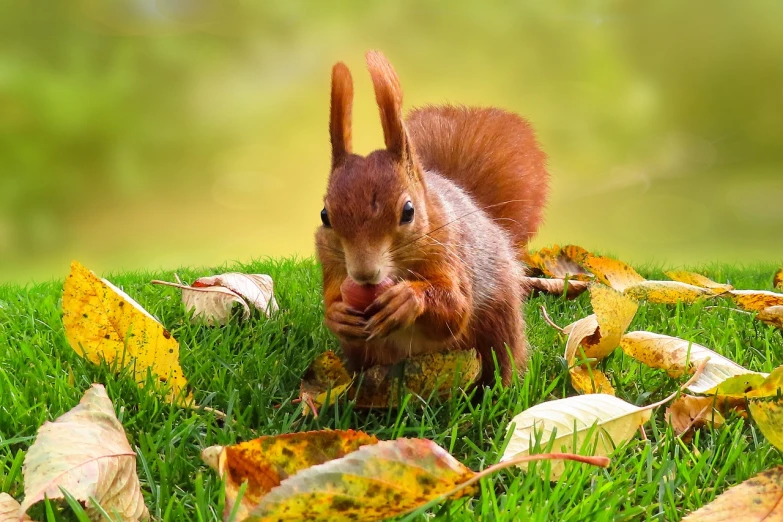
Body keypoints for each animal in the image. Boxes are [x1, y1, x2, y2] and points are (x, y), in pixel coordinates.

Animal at [316, 50, 548, 384]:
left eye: (408, 212)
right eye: (325, 215)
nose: (363, 274)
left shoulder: (449, 253)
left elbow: (455, 310)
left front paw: (407, 300)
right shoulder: (330, 262)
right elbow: (332, 299)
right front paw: (337, 316)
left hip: (497, 324)